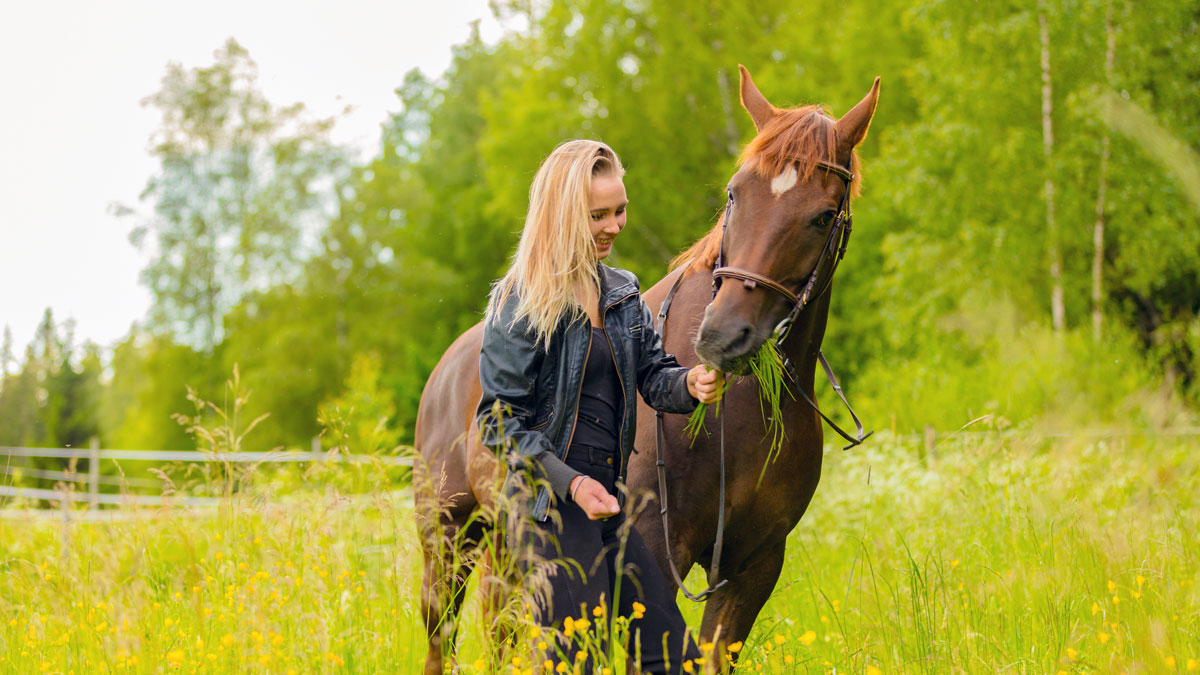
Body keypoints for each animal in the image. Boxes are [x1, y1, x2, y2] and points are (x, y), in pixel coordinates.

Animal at [414, 66, 879, 674]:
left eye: (823, 216)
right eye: (734, 192)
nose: (721, 337)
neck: (738, 420)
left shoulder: (753, 567)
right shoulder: (651, 557)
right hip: (447, 542)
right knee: (442, 638)